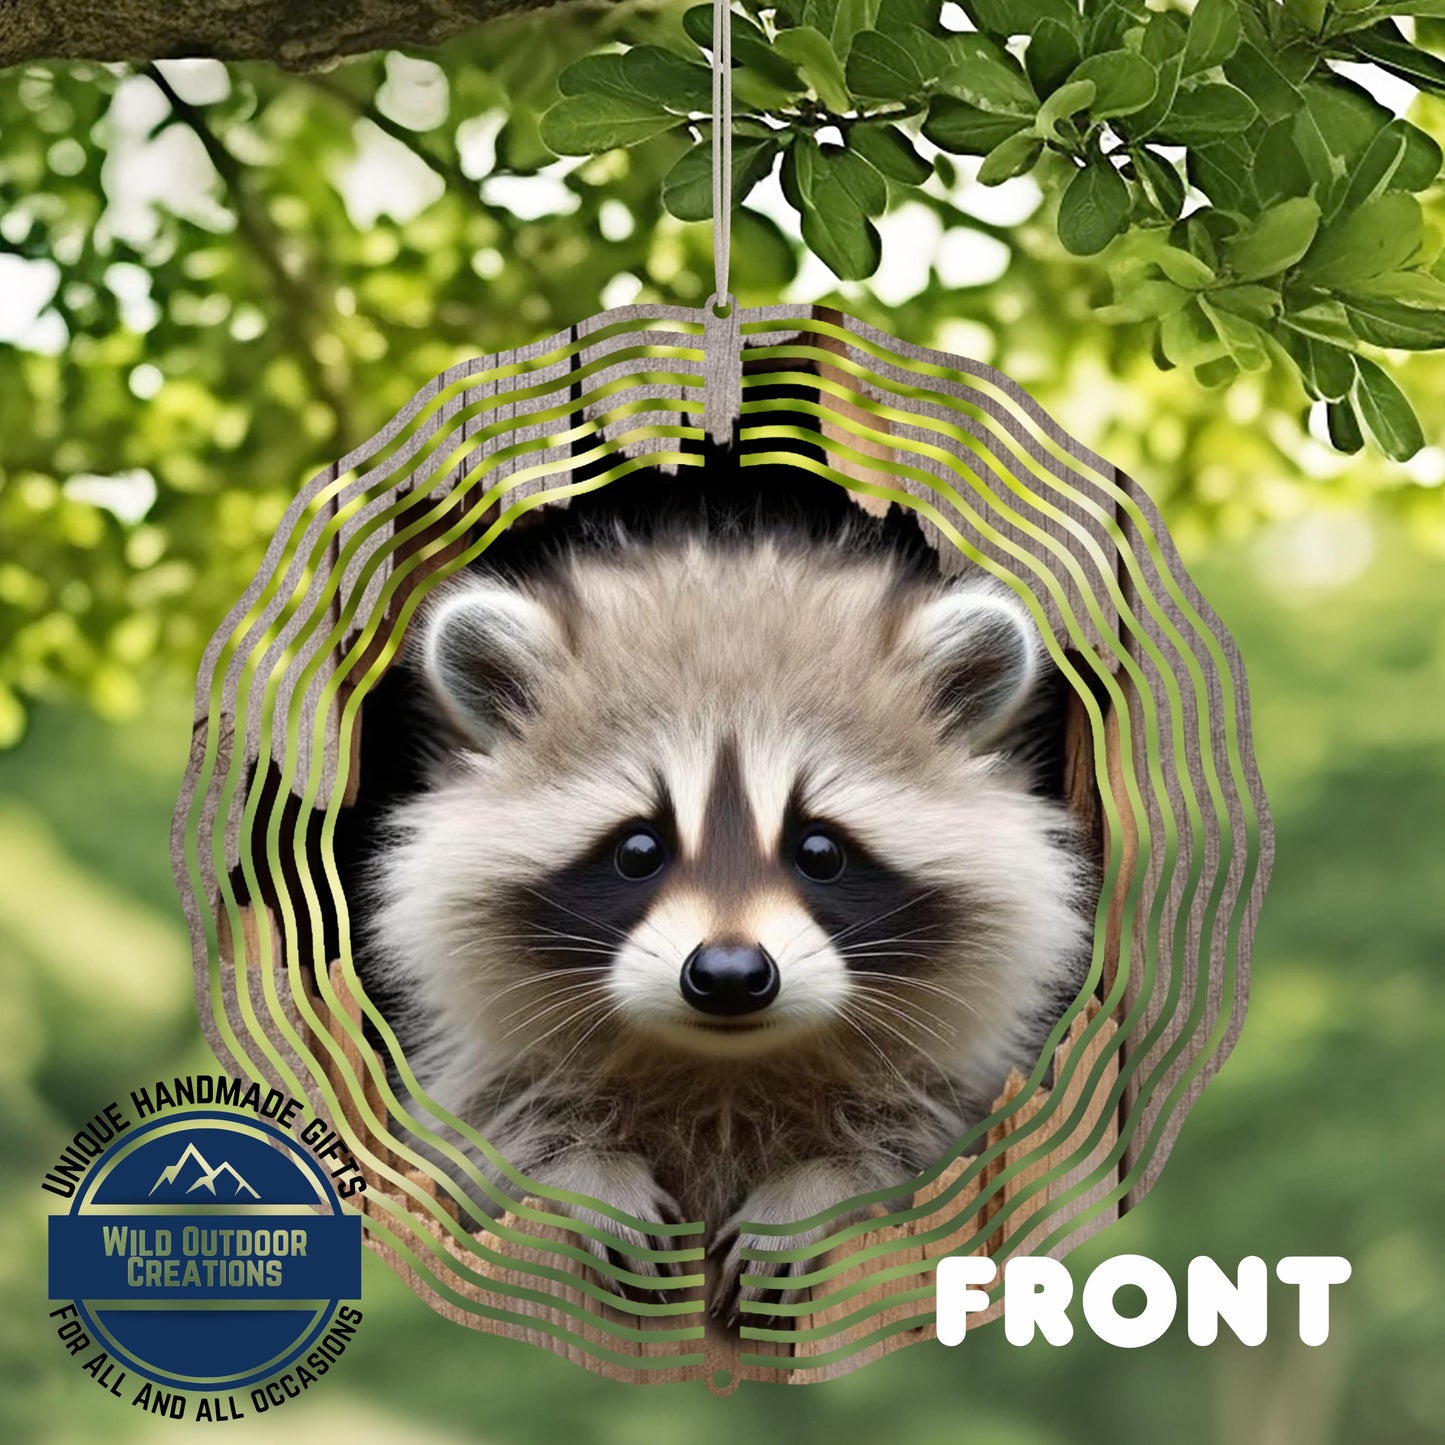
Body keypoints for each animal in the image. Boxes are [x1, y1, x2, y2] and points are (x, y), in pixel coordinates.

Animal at [365, 523, 1091, 1321]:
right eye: (638, 850)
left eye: (819, 851)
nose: (730, 976)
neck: (723, 1069)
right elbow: (491, 1137)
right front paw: (587, 1172)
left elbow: (923, 1154)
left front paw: (819, 1189)